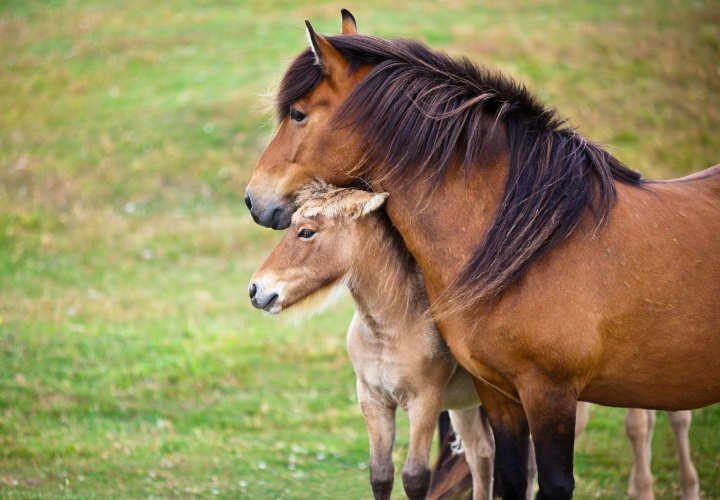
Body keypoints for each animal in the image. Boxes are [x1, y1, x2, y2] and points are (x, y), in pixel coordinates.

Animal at [249, 182, 497, 500]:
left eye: (306, 232)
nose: (255, 289)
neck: (391, 327)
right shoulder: (373, 400)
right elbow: (380, 474)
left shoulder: (424, 402)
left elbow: (415, 477)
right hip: (465, 405)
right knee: (481, 454)